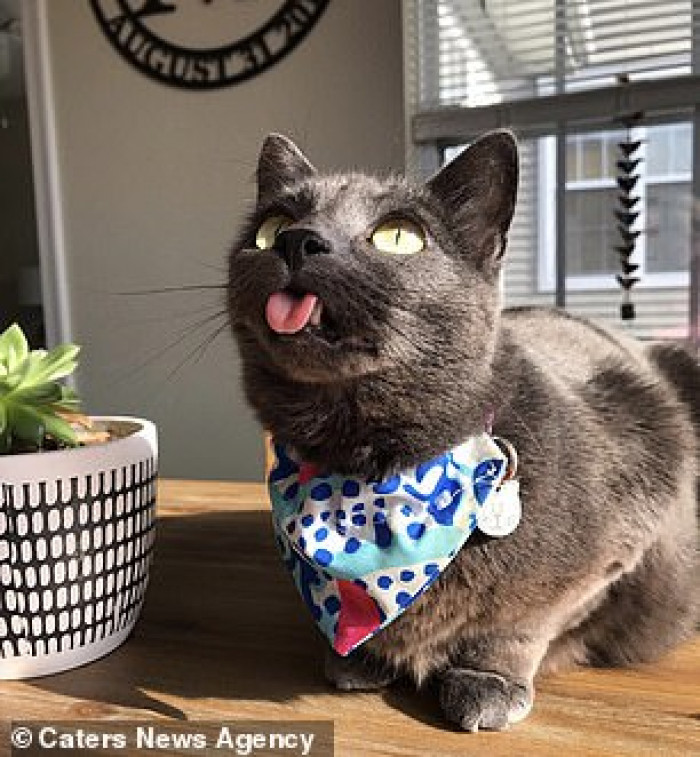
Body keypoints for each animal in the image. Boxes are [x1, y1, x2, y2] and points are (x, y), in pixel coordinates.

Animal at [227, 133, 696, 728]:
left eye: (398, 236)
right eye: (272, 224)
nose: (297, 240)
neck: (365, 469)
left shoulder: (624, 535)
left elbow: (522, 622)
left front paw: (486, 679)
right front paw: (364, 659)